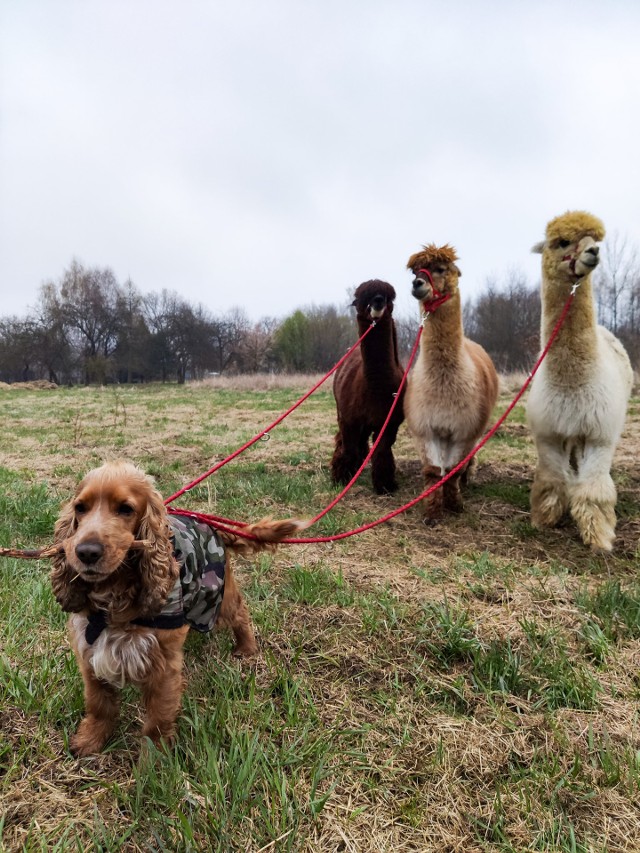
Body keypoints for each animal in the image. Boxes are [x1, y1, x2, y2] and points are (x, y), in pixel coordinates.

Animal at [50, 462, 304, 756]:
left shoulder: (162, 664)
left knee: (240, 613)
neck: (115, 592)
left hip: (220, 596)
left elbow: (158, 720)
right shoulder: (90, 649)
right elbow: (99, 703)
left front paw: (154, 759)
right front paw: (89, 741)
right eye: (80, 508)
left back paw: (246, 649)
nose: (86, 552)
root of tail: (211, 523)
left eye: (125, 509)